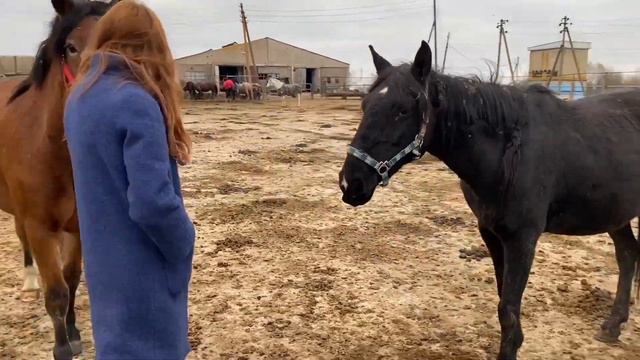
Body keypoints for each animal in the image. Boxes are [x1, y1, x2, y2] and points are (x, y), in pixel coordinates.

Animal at [0, 0, 117, 360]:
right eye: (71, 48)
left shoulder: (78, 225)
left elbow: (72, 278)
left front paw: (75, 333)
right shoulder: (39, 226)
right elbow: (56, 291)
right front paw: (62, 347)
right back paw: (29, 281)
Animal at [338, 40, 640, 358]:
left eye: (402, 111)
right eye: (365, 106)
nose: (351, 183)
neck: (509, 154)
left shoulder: (523, 239)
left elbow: (507, 308)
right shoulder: (491, 233)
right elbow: (503, 298)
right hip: (615, 212)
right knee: (627, 254)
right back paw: (613, 325)